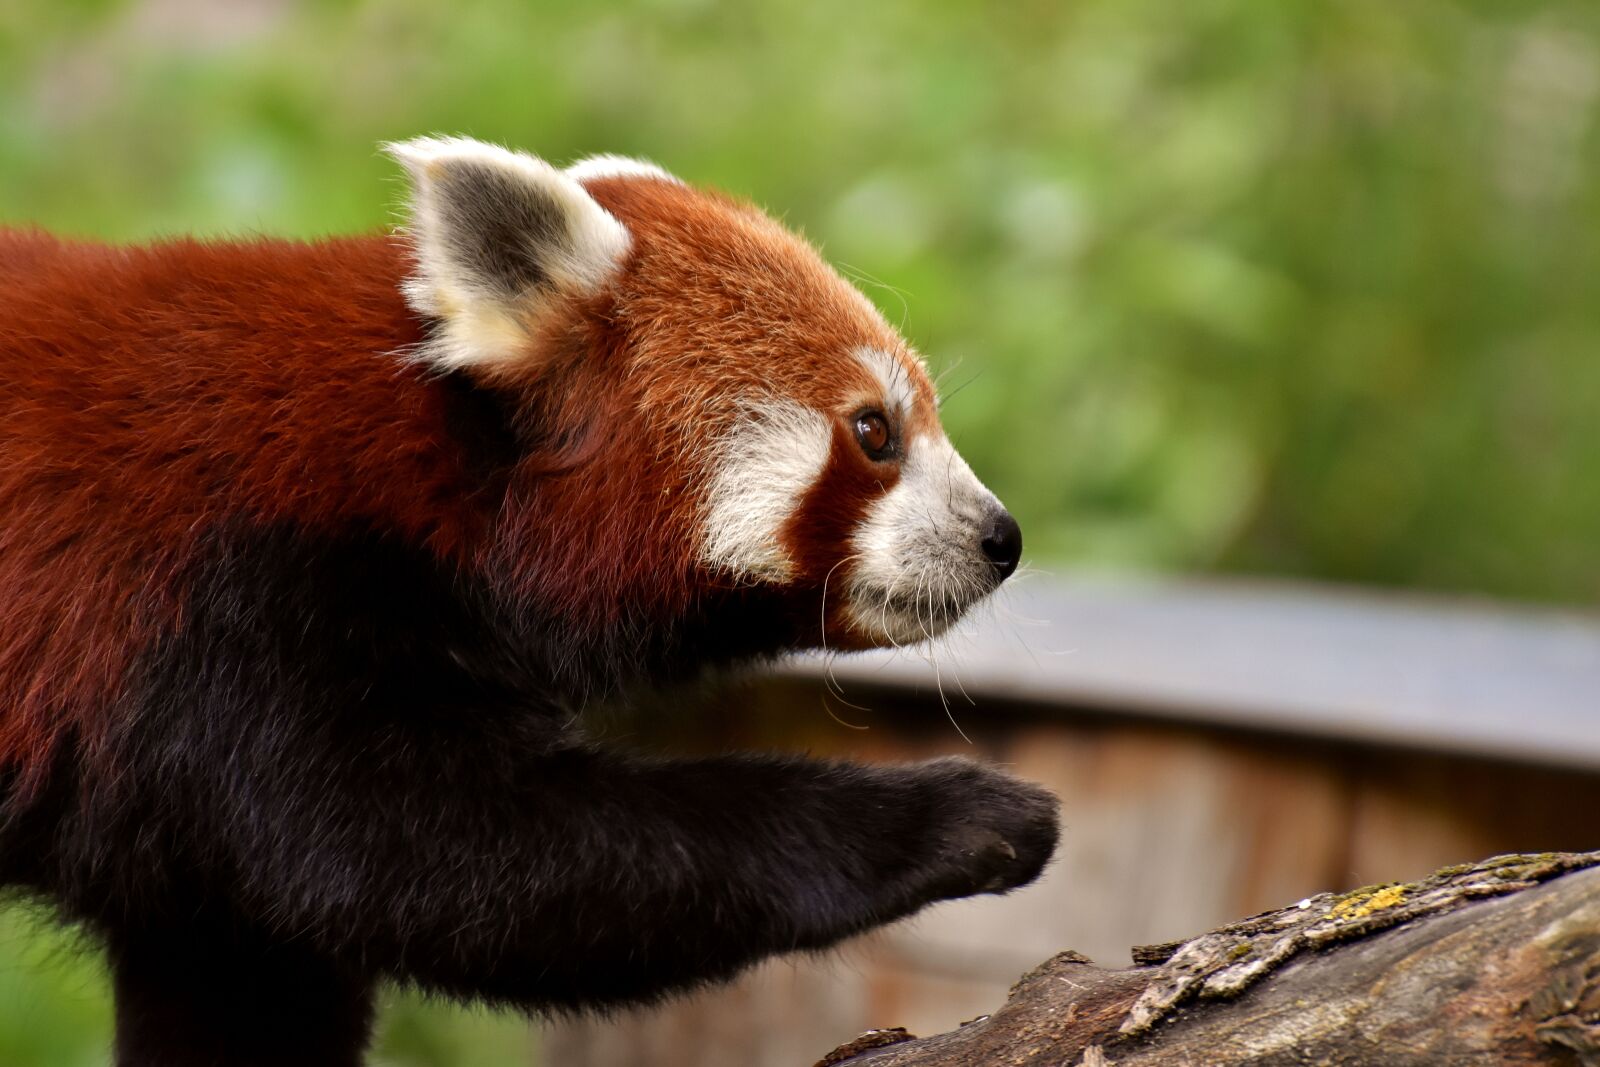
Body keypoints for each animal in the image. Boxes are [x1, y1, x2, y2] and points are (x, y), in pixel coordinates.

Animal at [0, 136, 1059, 1067]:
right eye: (876, 432)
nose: (1000, 537)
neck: (427, 476)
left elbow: (250, 963)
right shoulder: (231, 616)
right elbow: (449, 863)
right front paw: (956, 814)